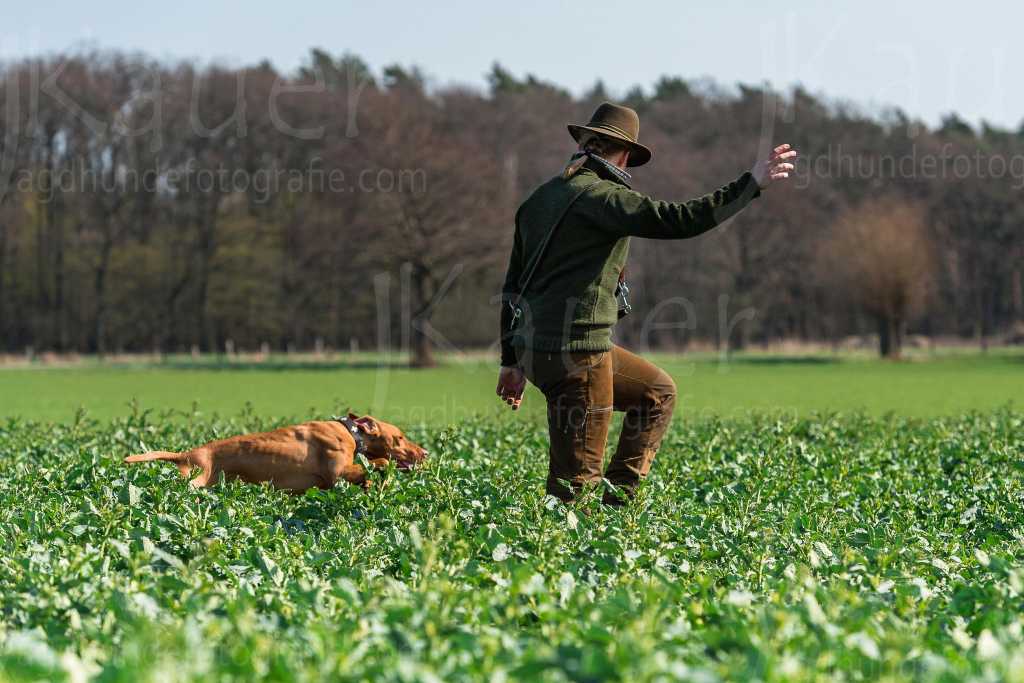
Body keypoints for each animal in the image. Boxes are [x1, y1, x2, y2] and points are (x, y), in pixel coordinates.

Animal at [124, 411, 428, 491]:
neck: (349, 431)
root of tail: (189, 453)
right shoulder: (337, 472)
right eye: (400, 437)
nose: (425, 453)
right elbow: (375, 465)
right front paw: (378, 480)